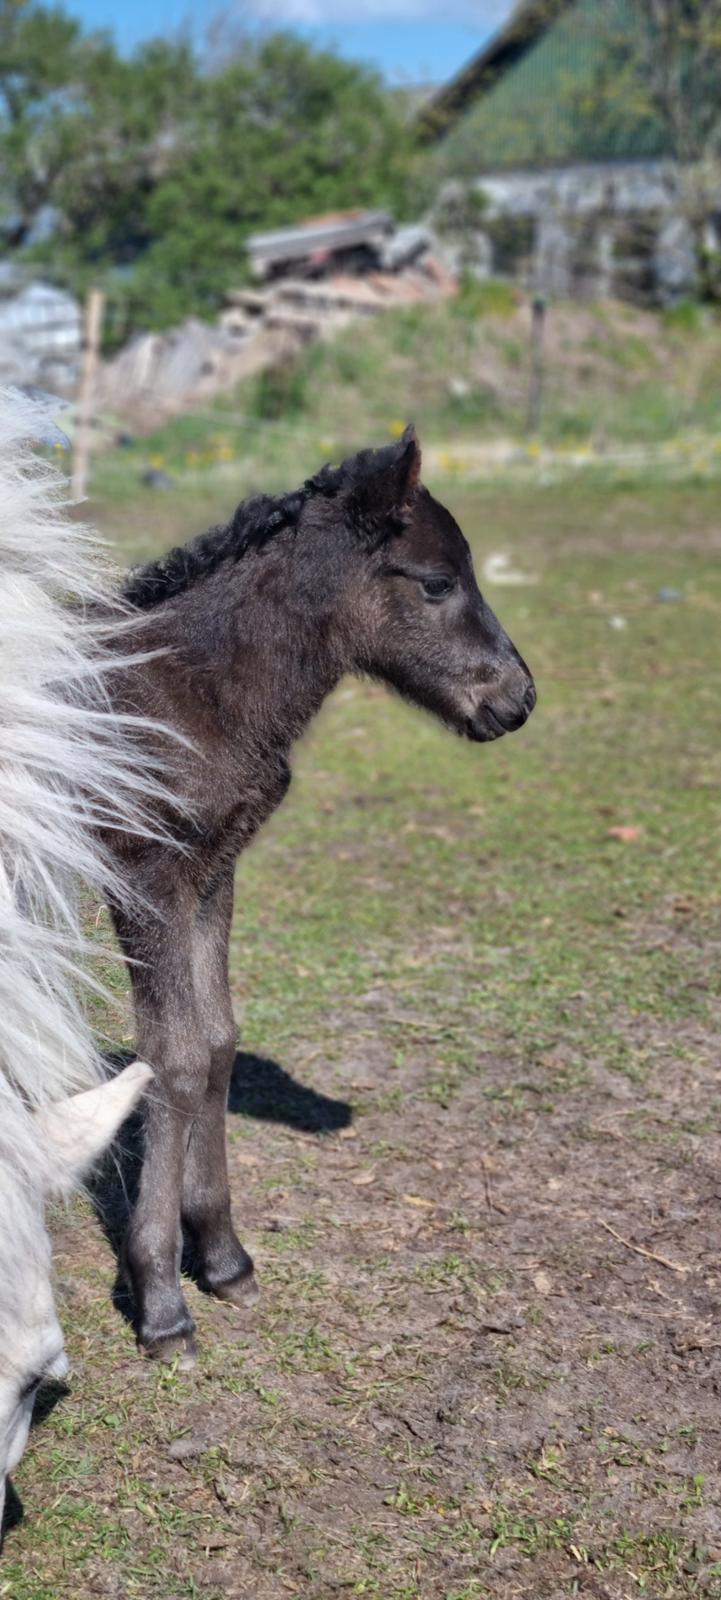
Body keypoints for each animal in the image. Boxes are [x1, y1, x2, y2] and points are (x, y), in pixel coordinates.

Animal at [107, 422, 537, 1350]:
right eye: (436, 581)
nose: (518, 700)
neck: (190, 693)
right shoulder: (143, 875)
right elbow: (173, 1056)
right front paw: (159, 1297)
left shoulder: (214, 869)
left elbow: (217, 1041)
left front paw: (223, 1257)